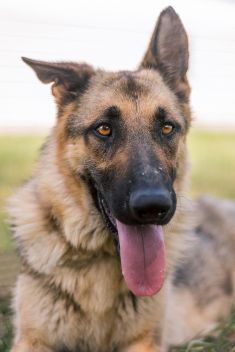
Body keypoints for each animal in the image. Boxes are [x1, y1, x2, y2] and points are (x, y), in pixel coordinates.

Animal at [7, 6, 235, 352]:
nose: (153, 207)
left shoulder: (144, 341)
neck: (99, 258)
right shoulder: (31, 340)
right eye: (104, 129)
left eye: (167, 127)